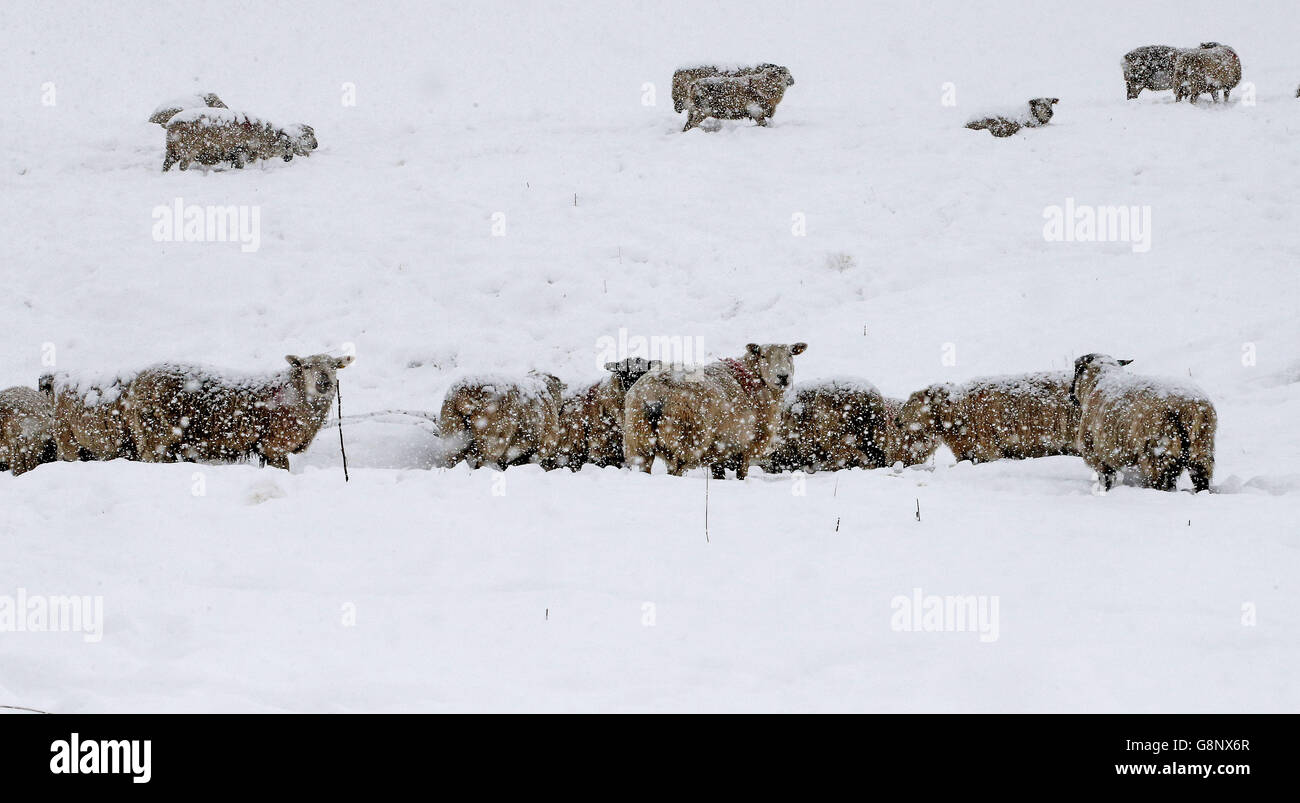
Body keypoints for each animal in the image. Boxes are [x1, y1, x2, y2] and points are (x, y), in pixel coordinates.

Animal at [124, 350, 353, 467]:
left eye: (334, 366)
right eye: (306, 367)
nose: (324, 383)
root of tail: (138, 380)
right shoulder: (273, 446)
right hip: (156, 432)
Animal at [162, 108, 317, 171]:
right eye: (287, 144)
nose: (290, 158)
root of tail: (171, 124)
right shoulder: (239, 151)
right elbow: (240, 165)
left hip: (171, 151)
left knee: (166, 164)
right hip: (188, 150)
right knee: (183, 166)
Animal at [618, 340, 800, 478]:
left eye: (790, 355)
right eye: (763, 355)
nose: (783, 376)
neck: (754, 380)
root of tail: (655, 394)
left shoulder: (720, 449)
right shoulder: (745, 444)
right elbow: (742, 473)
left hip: (639, 438)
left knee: (645, 465)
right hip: (685, 438)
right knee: (676, 469)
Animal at [1066, 353, 1216, 491]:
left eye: (1077, 371)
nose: (1070, 395)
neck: (1098, 382)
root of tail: (1186, 407)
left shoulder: (1098, 453)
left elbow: (1106, 479)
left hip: (1157, 450)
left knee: (1162, 480)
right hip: (1201, 445)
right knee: (1200, 477)